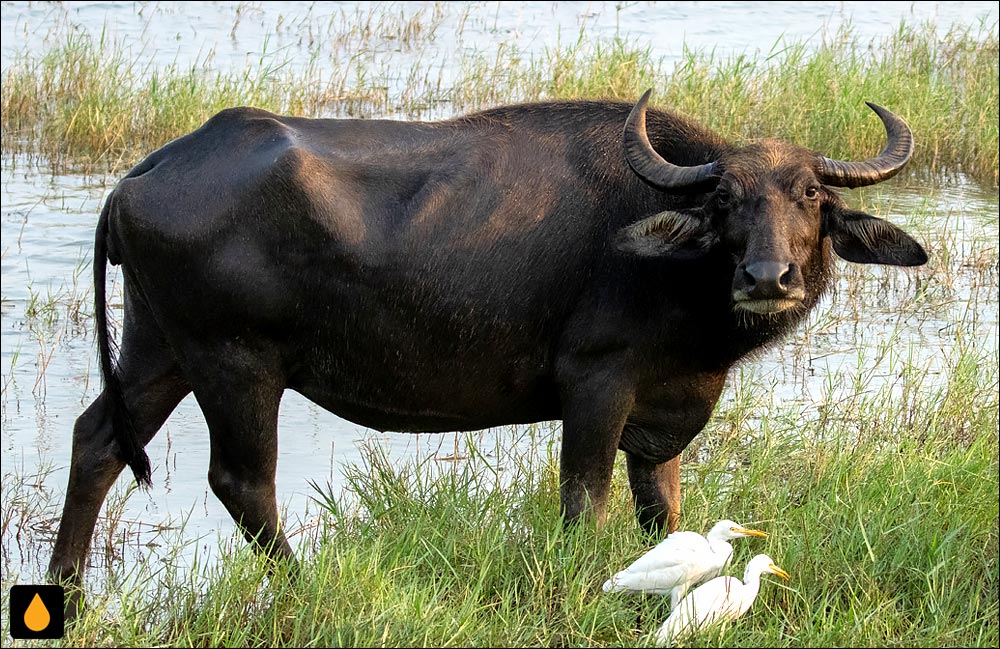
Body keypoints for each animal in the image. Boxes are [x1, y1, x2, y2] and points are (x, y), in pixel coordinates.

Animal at [47, 88, 920, 596]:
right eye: (727, 200)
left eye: (809, 196)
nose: (768, 276)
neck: (670, 264)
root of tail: (146, 173)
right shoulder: (596, 385)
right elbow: (584, 499)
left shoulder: (664, 409)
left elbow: (662, 510)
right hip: (234, 364)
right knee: (242, 482)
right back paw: (303, 588)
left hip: (158, 347)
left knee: (97, 441)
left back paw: (68, 589)